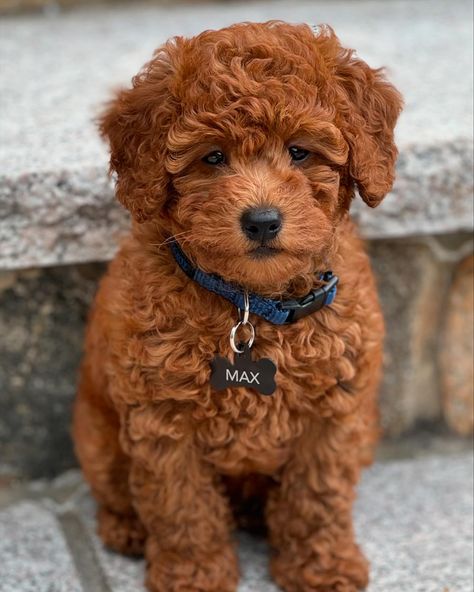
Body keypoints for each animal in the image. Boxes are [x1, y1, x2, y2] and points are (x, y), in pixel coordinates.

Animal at [72, 20, 402, 592]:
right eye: (213, 157)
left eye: (300, 152)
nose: (263, 221)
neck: (252, 303)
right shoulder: (162, 419)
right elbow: (181, 506)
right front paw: (195, 575)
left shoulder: (335, 414)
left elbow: (318, 496)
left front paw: (321, 566)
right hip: (98, 435)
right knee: (115, 489)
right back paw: (126, 530)